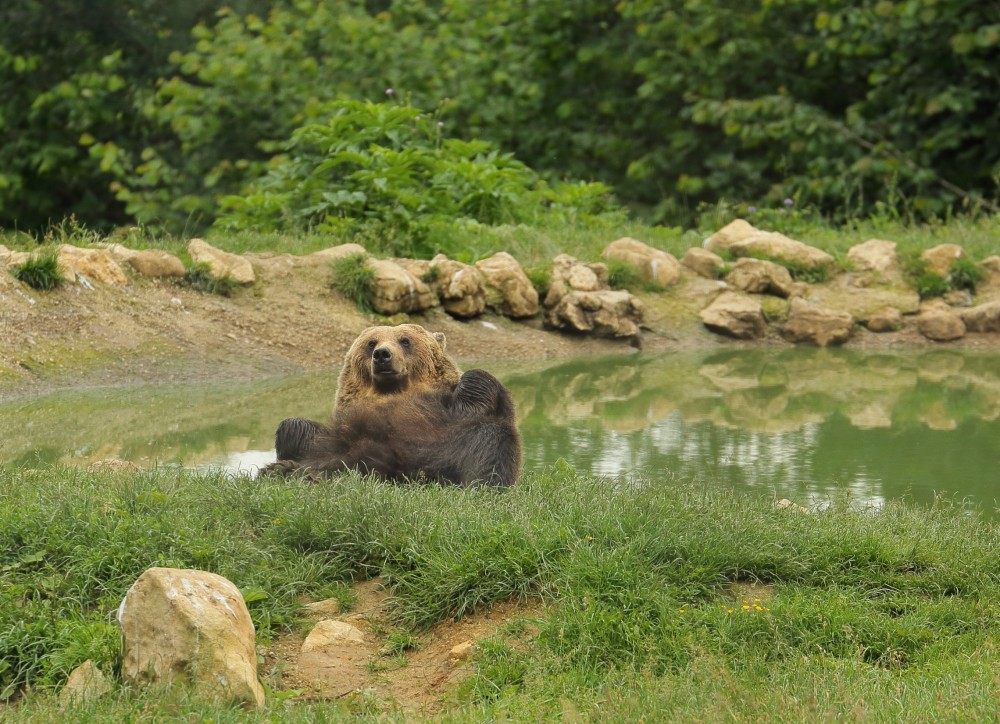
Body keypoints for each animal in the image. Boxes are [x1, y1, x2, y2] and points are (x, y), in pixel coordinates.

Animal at [258, 326, 524, 486]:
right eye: (371, 342)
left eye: (405, 340)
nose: (382, 354)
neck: (393, 392)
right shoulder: (346, 430)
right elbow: (297, 429)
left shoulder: (444, 418)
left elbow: (478, 391)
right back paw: (286, 470)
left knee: (489, 440)